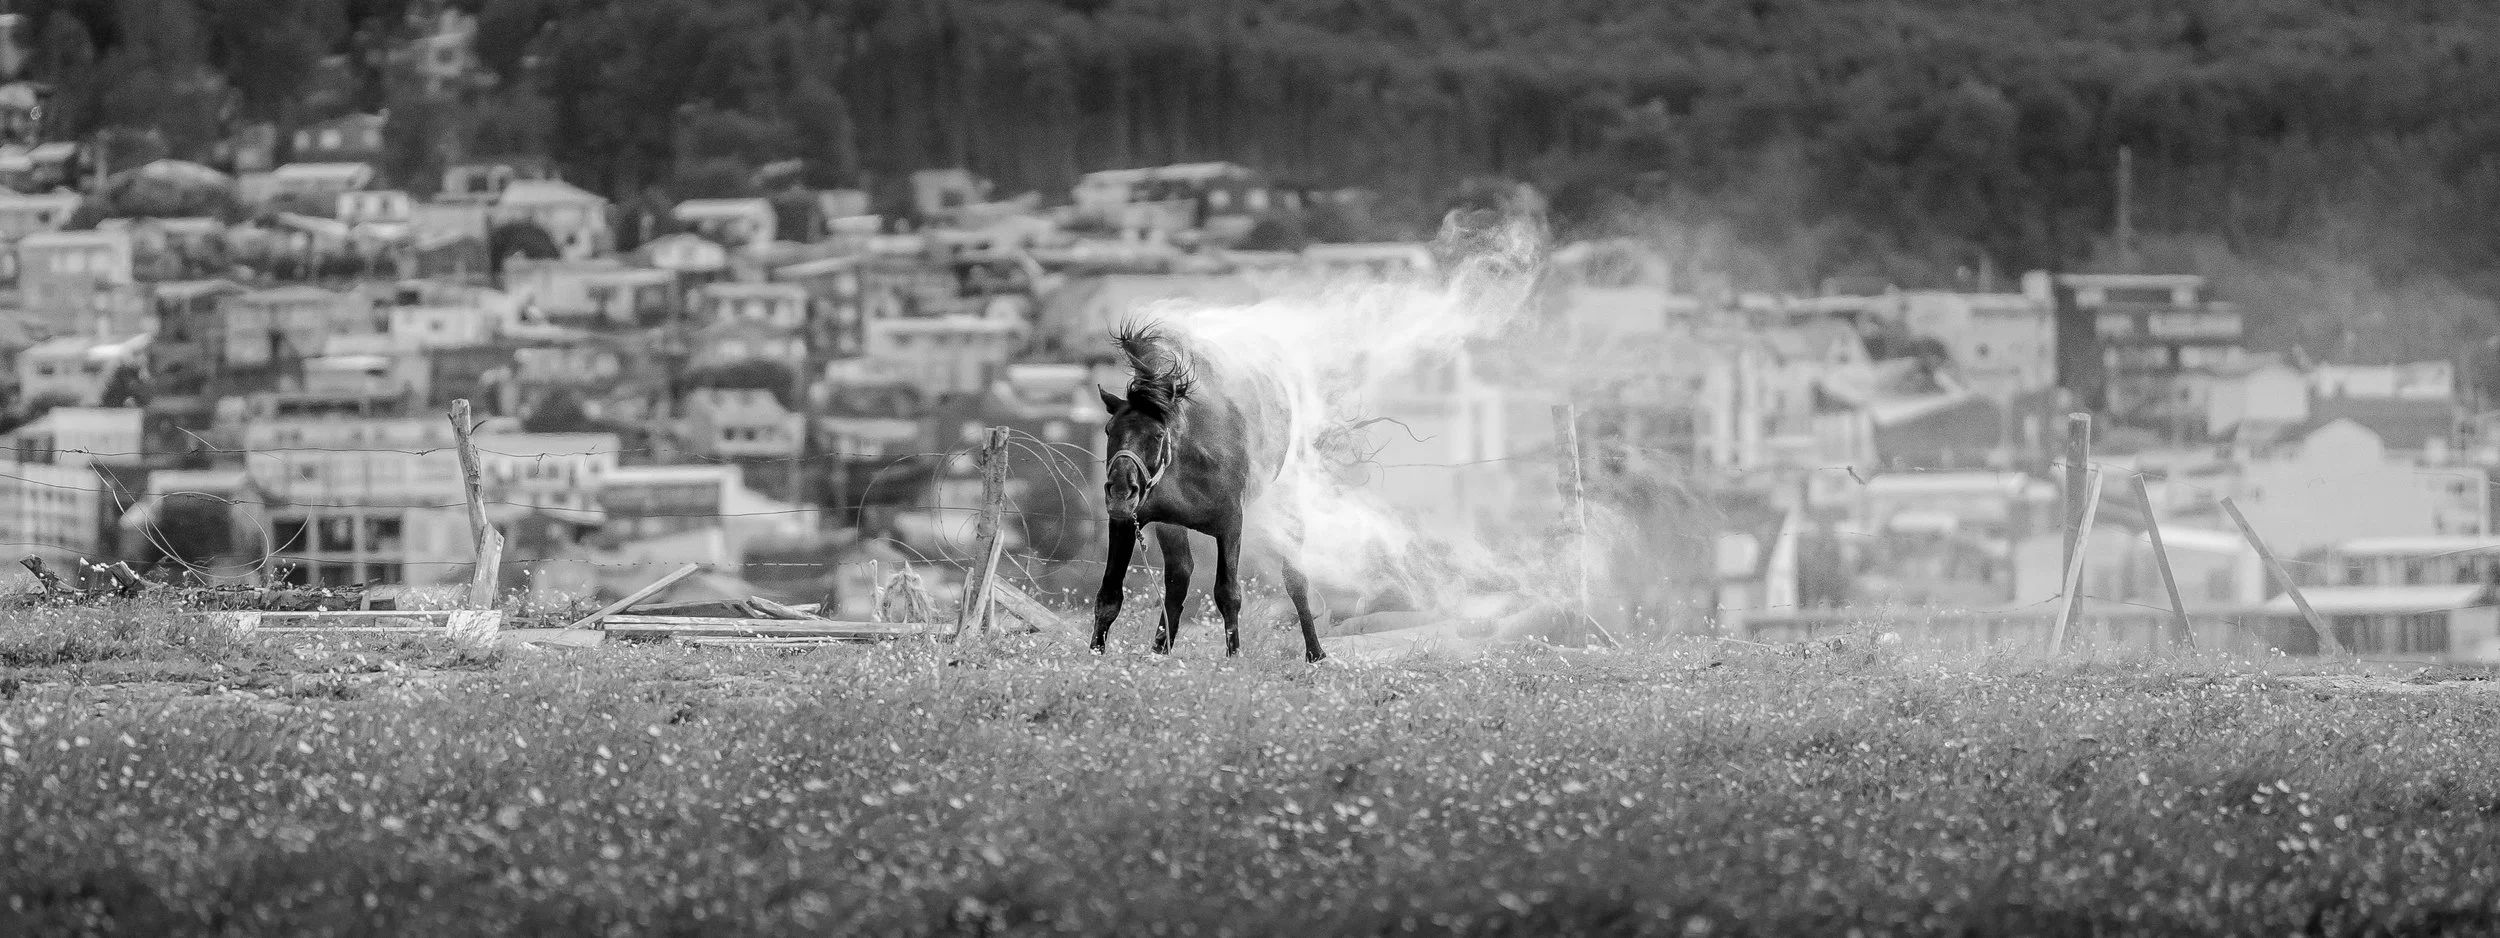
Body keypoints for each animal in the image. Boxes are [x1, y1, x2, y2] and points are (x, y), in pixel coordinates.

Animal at [1091, 322, 1327, 662]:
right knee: (1180, 575)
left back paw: (1314, 652)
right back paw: (1160, 650)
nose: (1121, 492)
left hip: (1287, 505)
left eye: (1157, 434)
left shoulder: (1230, 524)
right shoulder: (1128, 522)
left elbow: (1228, 593)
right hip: (1170, 526)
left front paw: (1234, 658)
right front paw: (1093, 655)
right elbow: (1110, 594)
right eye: (1110, 431)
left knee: (1295, 577)